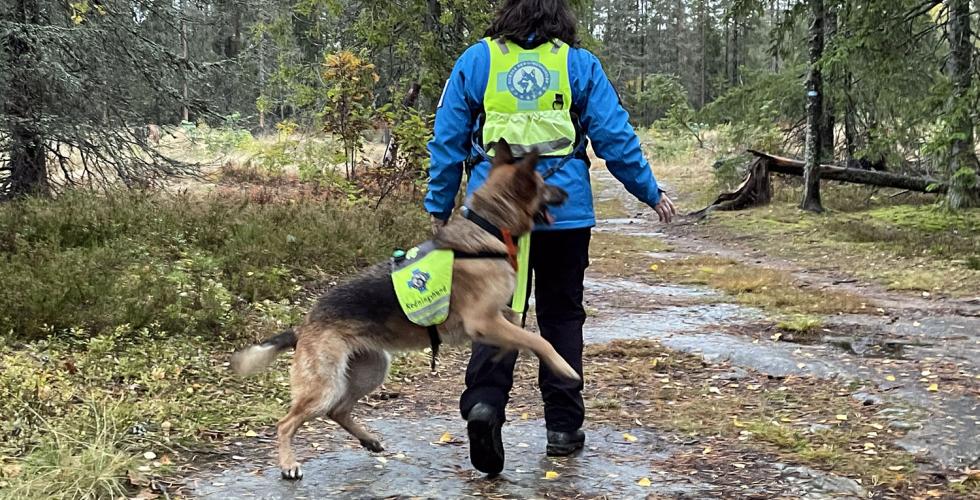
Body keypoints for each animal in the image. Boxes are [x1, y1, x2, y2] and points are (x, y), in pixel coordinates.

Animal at [232, 140, 576, 476]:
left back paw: (368, 440)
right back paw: (288, 464)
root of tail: (306, 325)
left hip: (370, 372)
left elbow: (518, 323)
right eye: (544, 184)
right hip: (326, 386)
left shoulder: (494, 318)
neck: (488, 228)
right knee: (287, 422)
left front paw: (504, 351)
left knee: (339, 410)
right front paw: (564, 368)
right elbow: (539, 340)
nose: (566, 193)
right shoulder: (483, 320)